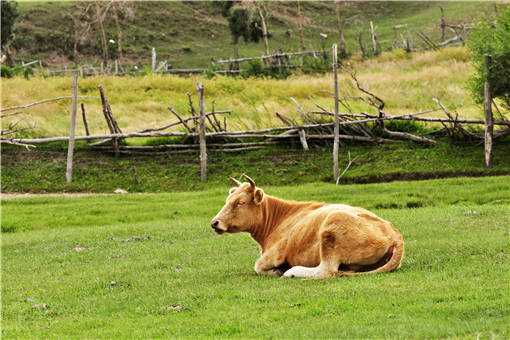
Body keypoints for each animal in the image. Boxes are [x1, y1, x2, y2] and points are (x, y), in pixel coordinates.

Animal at [209, 175, 404, 278]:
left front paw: (278, 270)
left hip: (331, 228)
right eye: (227, 200)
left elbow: (258, 266)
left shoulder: (273, 254)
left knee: (327, 270)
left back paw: (292, 271)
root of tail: (395, 234)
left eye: (240, 203)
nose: (214, 223)